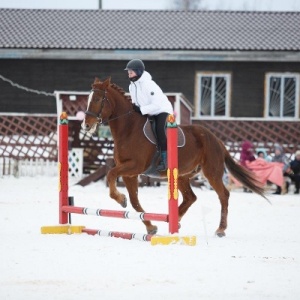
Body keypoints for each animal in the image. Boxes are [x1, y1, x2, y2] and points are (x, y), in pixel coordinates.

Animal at [81, 77, 264, 237]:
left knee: (223, 195)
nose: (86, 125)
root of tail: (216, 139)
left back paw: (220, 229)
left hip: (211, 172)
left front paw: (120, 199)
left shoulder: (135, 166)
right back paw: (177, 221)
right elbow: (134, 201)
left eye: (97, 99)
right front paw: (150, 226)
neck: (128, 129)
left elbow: (111, 174)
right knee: (191, 197)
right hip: (182, 175)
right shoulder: (130, 174)